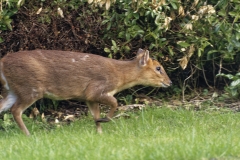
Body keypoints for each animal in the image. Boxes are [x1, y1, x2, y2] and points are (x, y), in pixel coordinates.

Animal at [0, 48, 172, 135]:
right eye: (158, 68)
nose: (169, 82)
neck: (120, 76)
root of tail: (2, 61)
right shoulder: (96, 89)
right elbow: (115, 102)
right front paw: (105, 120)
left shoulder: (88, 98)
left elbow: (95, 114)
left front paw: (100, 132)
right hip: (30, 87)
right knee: (16, 110)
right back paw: (28, 134)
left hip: (13, 90)